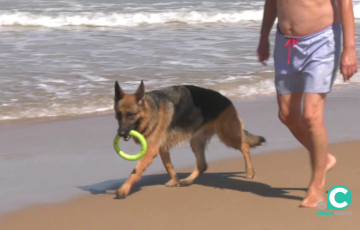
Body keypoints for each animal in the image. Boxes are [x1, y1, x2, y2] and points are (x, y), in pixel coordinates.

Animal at [114, 80, 266, 198]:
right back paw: (187, 180)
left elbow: (136, 170)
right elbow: (168, 165)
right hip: (196, 142)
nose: (120, 133)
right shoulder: (162, 148)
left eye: (130, 115)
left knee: (245, 146)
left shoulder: (151, 150)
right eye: (118, 114)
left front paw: (124, 189)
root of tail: (226, 99)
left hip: (228, 135)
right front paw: (174, 180)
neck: (151, 110)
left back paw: (250, 172)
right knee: (202, 165)